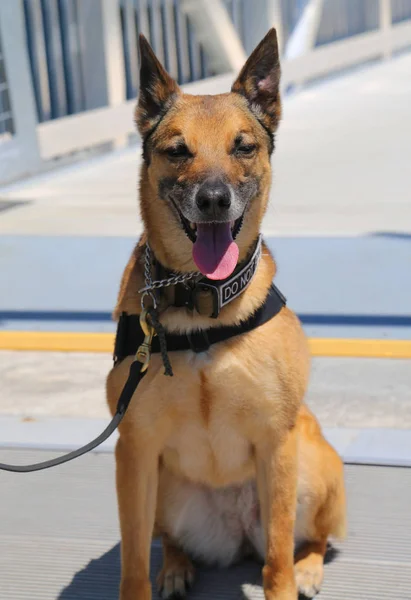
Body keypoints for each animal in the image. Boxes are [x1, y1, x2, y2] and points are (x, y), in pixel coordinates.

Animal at [106, 29, 344, 600]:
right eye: (177, 151)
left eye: (243, 146)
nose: (213, 199)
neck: (201, 306)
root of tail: (235, 532)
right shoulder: (135, 451)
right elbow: (132, 562)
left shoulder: (276, 443)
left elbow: (277, 559)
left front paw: (287, 580)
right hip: (163, 487)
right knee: (168, 539)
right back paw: (174, 567)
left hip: (310, 468)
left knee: (309, 537)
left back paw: (309, 566)